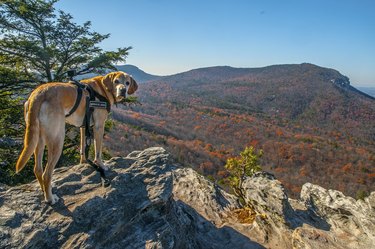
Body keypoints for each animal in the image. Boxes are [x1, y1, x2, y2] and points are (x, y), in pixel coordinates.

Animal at [15, 71, 138, 203]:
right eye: (116, 81)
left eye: (127, 83)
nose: (123, 90)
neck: (104, 88)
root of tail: (38, 94)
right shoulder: (99, 126)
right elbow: (98, 151)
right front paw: (101, 165)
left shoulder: (84, 127)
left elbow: (83, 147)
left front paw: (83, 162)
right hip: (57, 138)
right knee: (47, 174)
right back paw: (50, 198)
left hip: (39, 138)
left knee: (37, 169)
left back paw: (44, 191)